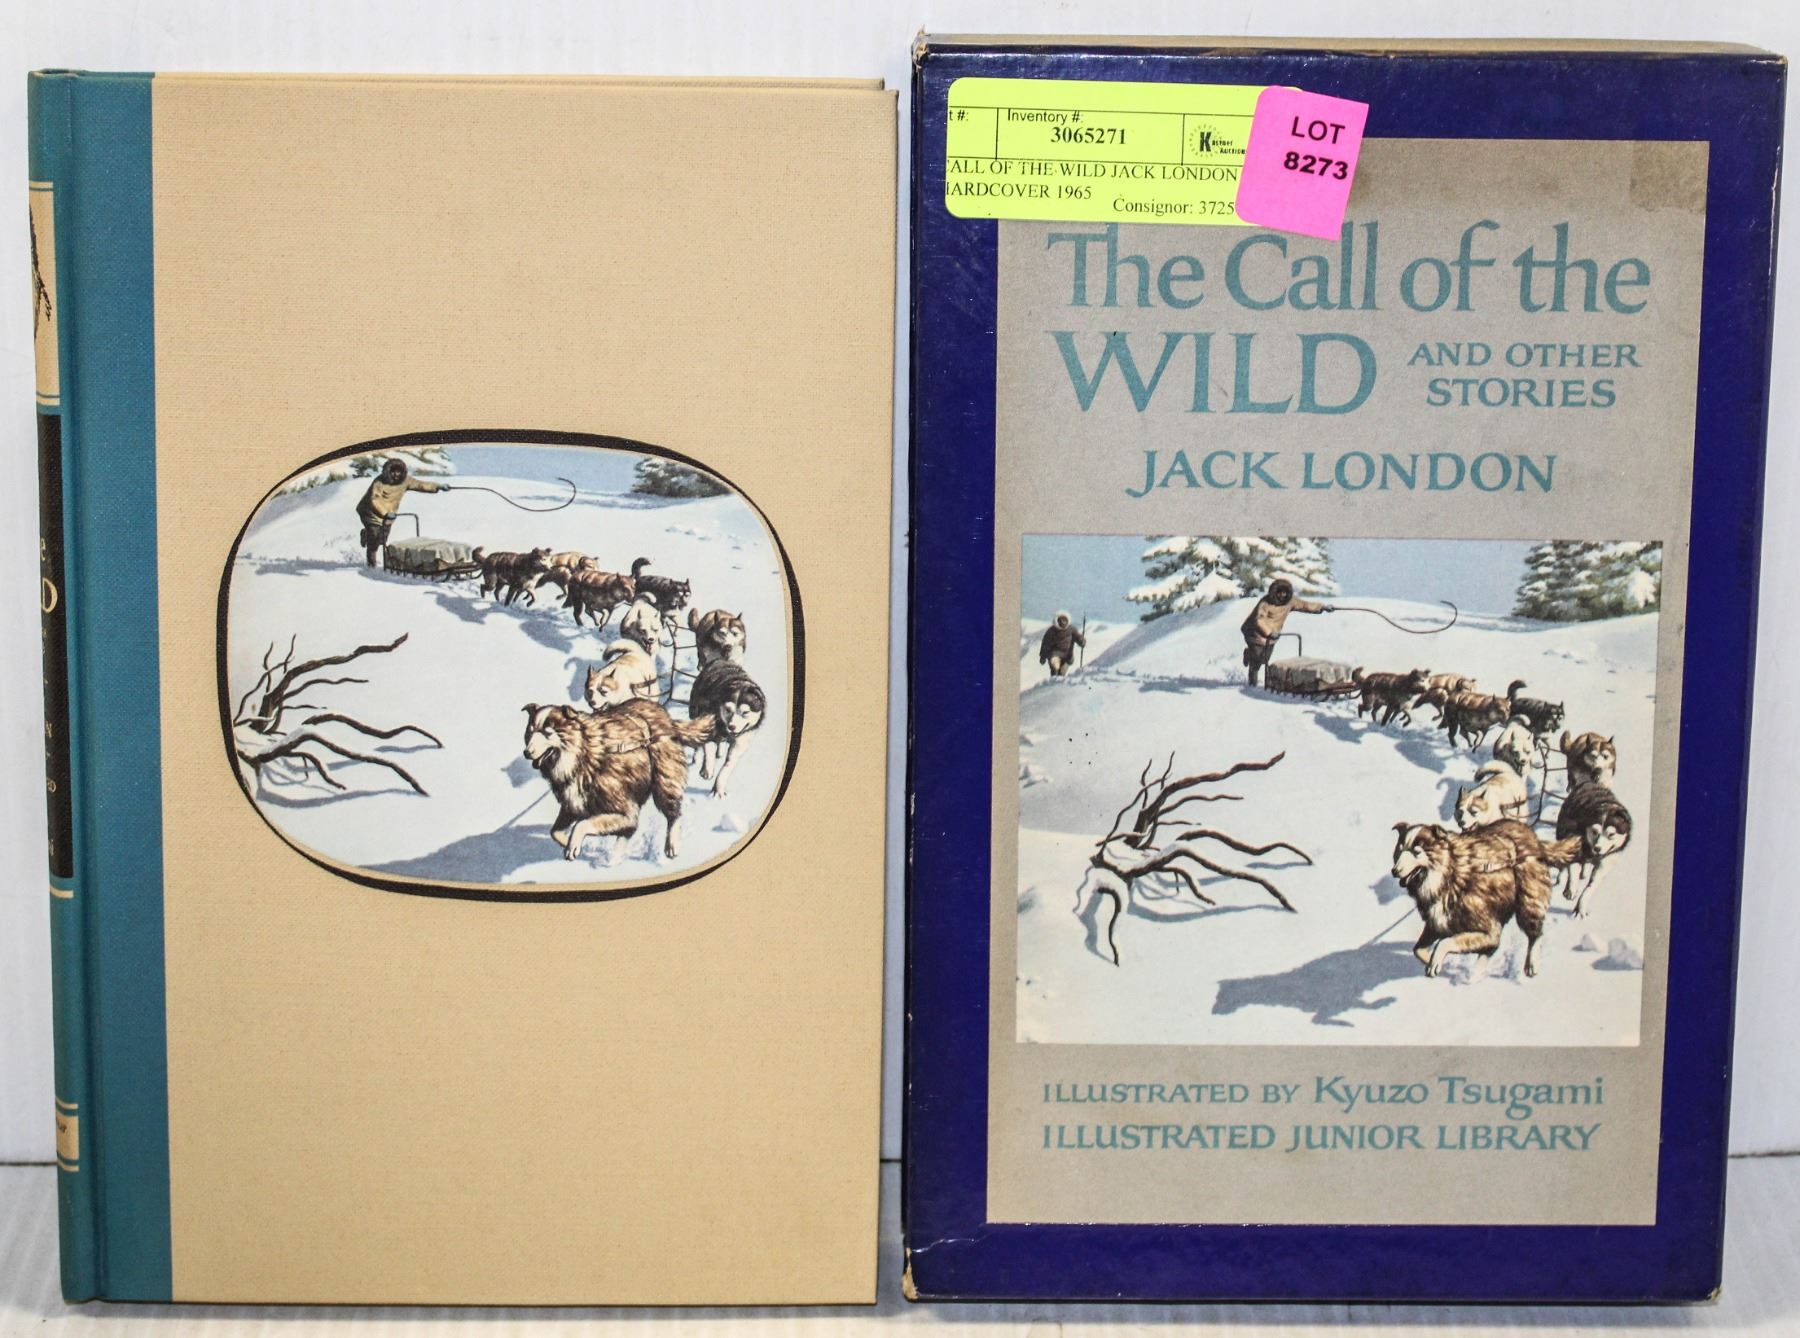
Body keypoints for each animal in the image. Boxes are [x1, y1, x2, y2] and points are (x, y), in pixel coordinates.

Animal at [521, 699, 713, 863]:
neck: (584, 754)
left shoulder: (624, 810)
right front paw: (567, 843)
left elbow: (582, 824)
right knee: (630, 831)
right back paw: (614, 858)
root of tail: (667, 718)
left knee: (673, 814)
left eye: (547, 733)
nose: (526, 752)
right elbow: (554, 831)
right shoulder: (573, 805)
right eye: (530, 731)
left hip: (664, 782)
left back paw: (670, 845)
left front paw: (573, 843)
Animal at [687, 659, 767, 798]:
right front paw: (707, 770)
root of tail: (718, 660)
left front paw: (718, 790)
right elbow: (708, 750)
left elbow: (727, 766)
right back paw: (698, 758)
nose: (732, 726)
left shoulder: (740, 742)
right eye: (728, 710)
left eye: (745, 712)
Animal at [1390, 819, 1582, 978]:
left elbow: (1446, 942)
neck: (1450, 875)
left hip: (1528, 903)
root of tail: (1535, 839)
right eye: (1399, 851)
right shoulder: (1437, 923)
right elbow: (1418, 949)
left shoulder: (1488, 929)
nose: (1394, 871)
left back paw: (1531, 964)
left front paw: (1435, 960)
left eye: (1416, 852)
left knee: (1534, 933)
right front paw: (1430, 960)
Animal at [1554, 781, 1634, 917]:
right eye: (1595, 831)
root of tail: (1587, 782)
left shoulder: (1606, 862)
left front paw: (1581, 909)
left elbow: (1591, 886)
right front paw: (1571, 889)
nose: (1597, 848)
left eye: (1611, 834)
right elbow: (1573, 869)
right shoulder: (1574, 843)